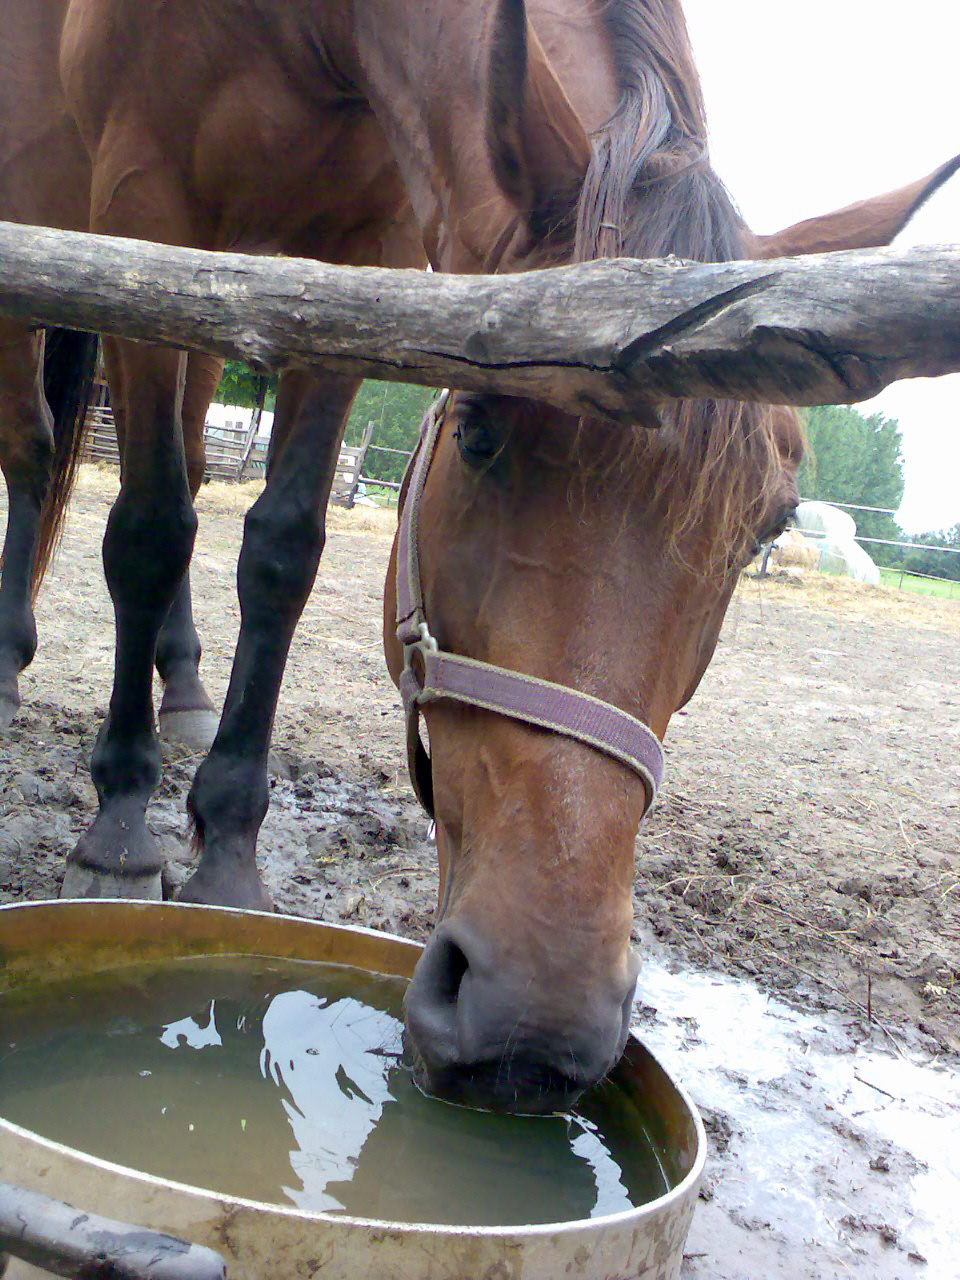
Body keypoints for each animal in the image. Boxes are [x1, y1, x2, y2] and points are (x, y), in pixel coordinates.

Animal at [1, 0, 957, 1111]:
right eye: (478, 433)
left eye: (768, 522)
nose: (537, 1021)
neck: (305, 30)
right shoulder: (146, 200)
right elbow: (149, 531)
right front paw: (119, 832)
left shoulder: (352, 262)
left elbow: (282, 549)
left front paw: (228, 851)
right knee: (37, 451)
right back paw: (11, 667)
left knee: (182, 465)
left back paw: (185, 686)